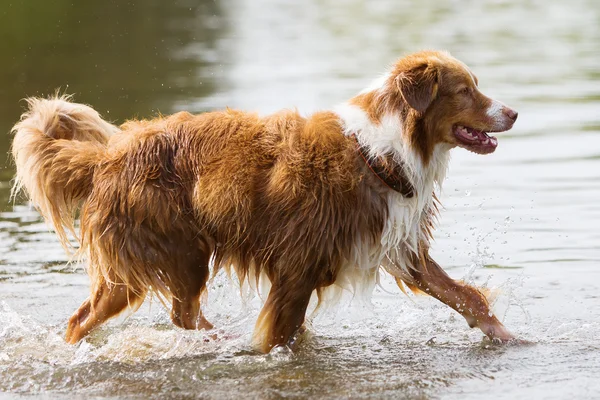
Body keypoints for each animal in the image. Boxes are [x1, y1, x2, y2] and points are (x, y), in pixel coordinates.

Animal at [10, 50, 516, 354]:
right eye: (465, 90)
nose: (512, 112)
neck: (381, 152)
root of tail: (107, 157)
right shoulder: (297, 268)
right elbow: (280, 335)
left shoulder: (401, 247)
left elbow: (467, 297)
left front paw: (510, 338)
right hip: (177, 251)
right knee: (155, 314)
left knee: (121, 316)